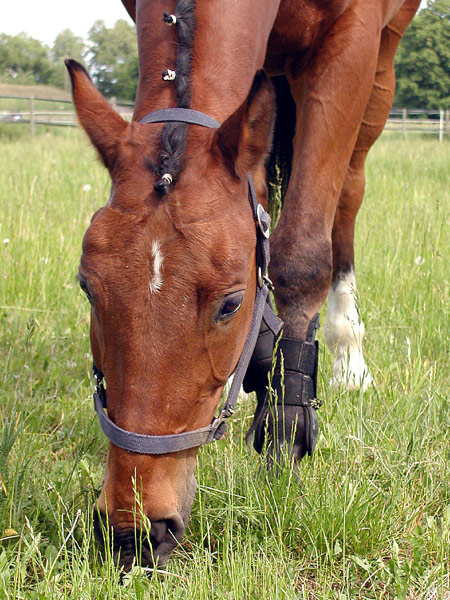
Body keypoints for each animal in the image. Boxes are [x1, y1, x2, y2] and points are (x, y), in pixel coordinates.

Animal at [66, 0, 418, 572]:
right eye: (87, 289)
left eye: (230, 305)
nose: (135, 530)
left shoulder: (354, 42)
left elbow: (300, 255)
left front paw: (284, 438)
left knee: (346, 195)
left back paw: (347, 359)